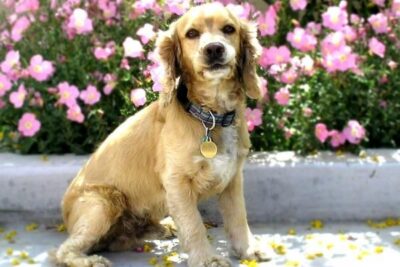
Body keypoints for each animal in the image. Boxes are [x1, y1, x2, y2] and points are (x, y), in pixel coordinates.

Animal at [54, 2, 268, 267]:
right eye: (191, 33)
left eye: (229, 29)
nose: (214, 49)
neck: (211, 117)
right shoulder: (176, 181)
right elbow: (194, 224)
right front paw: (207, 259)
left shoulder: (232, 177)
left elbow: (238, 216)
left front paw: (248, 250)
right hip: (102, 204)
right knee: (63, 251)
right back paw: (90, 260)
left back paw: (161, 227)